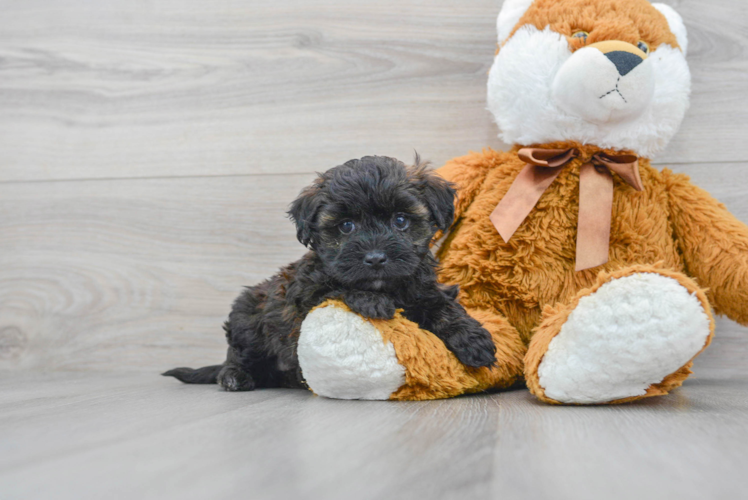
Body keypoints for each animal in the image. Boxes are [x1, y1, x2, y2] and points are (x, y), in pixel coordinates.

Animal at [164, 156, 496, 390]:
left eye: (401, 220)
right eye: (346, 226)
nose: (375, 258)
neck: (388, 286)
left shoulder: (423, 288)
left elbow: (443, 307)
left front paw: (473, 339)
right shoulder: (306, 295)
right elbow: (336, 287)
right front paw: (371, 300)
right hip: (247, 319)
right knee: (238, 354)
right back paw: (234, 376)